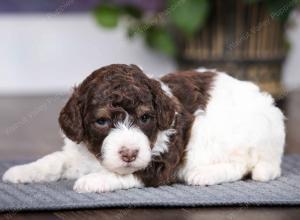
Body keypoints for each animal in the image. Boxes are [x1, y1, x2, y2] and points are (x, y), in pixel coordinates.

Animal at [2, 63, 284, 192]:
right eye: (102, 121)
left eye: (146, 117)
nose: (129, 153)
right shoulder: (76, 150)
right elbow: (54, 160)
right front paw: (22, 171)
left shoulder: (162, 162)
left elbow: (129, 173)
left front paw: (93, 180)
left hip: (236, 139)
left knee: (243, 165)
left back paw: (204, 175)